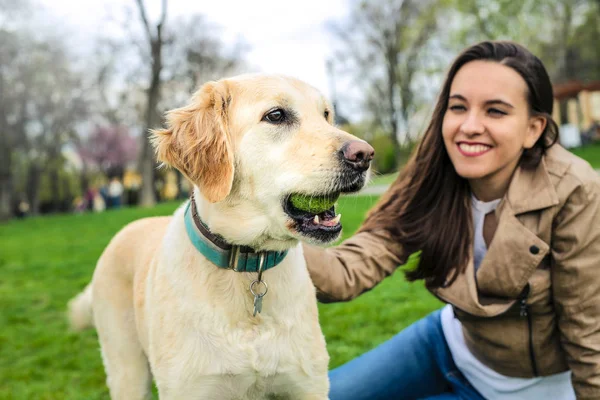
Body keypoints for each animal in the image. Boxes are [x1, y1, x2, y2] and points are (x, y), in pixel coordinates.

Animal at [68, 75, 372, 400]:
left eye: (326, 115)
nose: (365, 154)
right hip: (127, 372)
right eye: (276, 115)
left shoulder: (308, 385)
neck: (248, 266)